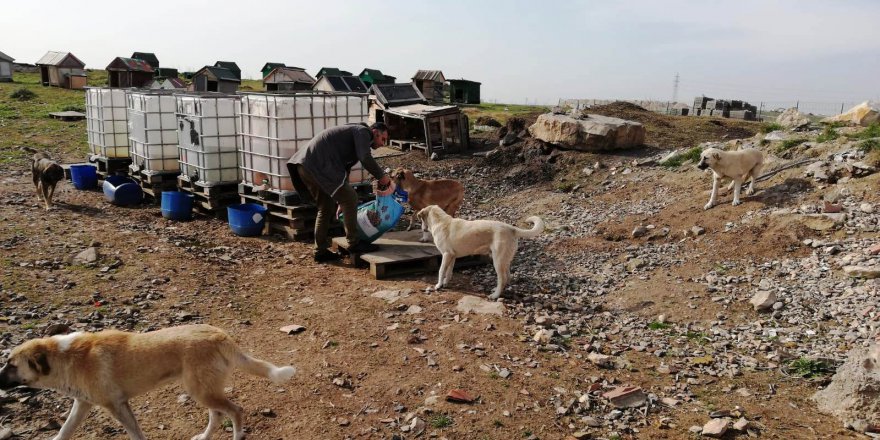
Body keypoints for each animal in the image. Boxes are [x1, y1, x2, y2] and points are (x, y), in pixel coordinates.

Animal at [0, 324, 296, 440]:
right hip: (202, 390)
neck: (65, 357)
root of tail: (218, 334)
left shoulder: (117, 405)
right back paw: (203, 437)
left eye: (11, 365)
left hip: (201, 391)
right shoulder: (82, 404)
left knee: (235, 411)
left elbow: (135, 433)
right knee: (217, 414)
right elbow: (64, 430)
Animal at [414, 205, 544, 300]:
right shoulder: (452, 256)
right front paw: (445, 283)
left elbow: (441, 271)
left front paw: (438, 285)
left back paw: (495, 295)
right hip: (505, 261)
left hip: (497, 261)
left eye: (421, 219)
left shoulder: (446, 254)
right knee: (507, 277)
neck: (440, 221)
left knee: (502, 279)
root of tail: (511, 228)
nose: (423, 229)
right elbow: (449, 271)